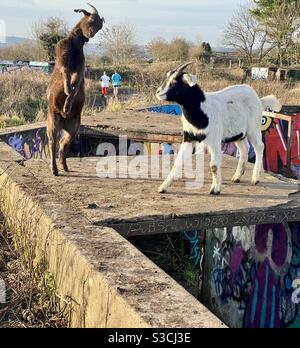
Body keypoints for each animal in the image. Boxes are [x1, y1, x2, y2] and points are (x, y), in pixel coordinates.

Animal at [46, 3, 104, 175]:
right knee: (52, 142)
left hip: (74, 128)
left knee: (63, 143)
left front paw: (68, 101)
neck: (75, 44)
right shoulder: (62, 59)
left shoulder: (80, 69)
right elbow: (66, 74)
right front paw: (66, 90)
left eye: (100, 26)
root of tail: (64, 121)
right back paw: (54, 169)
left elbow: (76, 83)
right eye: (90, 19)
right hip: (52, 121)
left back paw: (64, 166)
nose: (90, 34)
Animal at [156, 61, 282, 194]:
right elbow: (178, 162)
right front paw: (163, 187)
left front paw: (215, 189)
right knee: (244, 148)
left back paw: (255, 178)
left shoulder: (214, 140)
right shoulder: (189, 137)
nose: (158, 92)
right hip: (238, 134)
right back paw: (237, 176)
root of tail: (259, 100)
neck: (202, 109)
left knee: (259, 146)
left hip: (254, 128)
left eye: (175, 81)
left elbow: (214, 166)